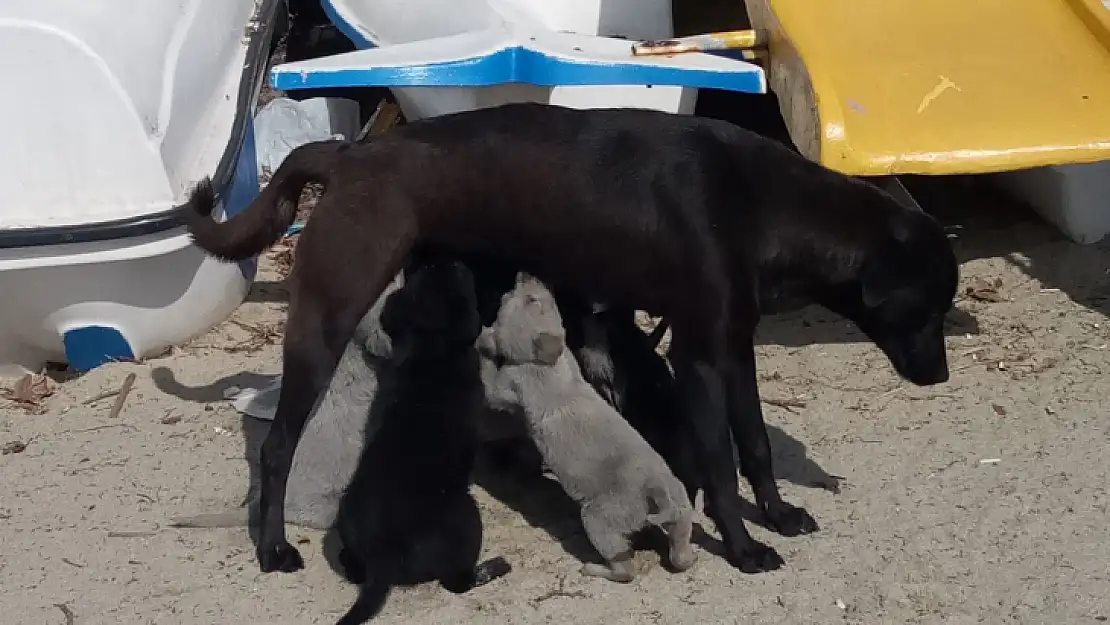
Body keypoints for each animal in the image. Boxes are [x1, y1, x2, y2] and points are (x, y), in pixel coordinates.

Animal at [184, 102, 963, 577]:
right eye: (928, 308)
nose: (942, 379)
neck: (762, 204)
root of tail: (346, 153)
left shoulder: (732, 350)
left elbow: (757, 443)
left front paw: (777, 513)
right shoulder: (698, 360)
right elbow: (718, 464)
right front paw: (743, 547)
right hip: (326, 317)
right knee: (278, 446)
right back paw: (274, 545)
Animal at [330, 256, 508, 621]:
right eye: (460, 274)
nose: (449, 257)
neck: (433, 348)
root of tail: (383, 553)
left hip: (346, 519)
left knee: (353, 567)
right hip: (467, 517)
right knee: (457, 583)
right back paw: (493, 568)